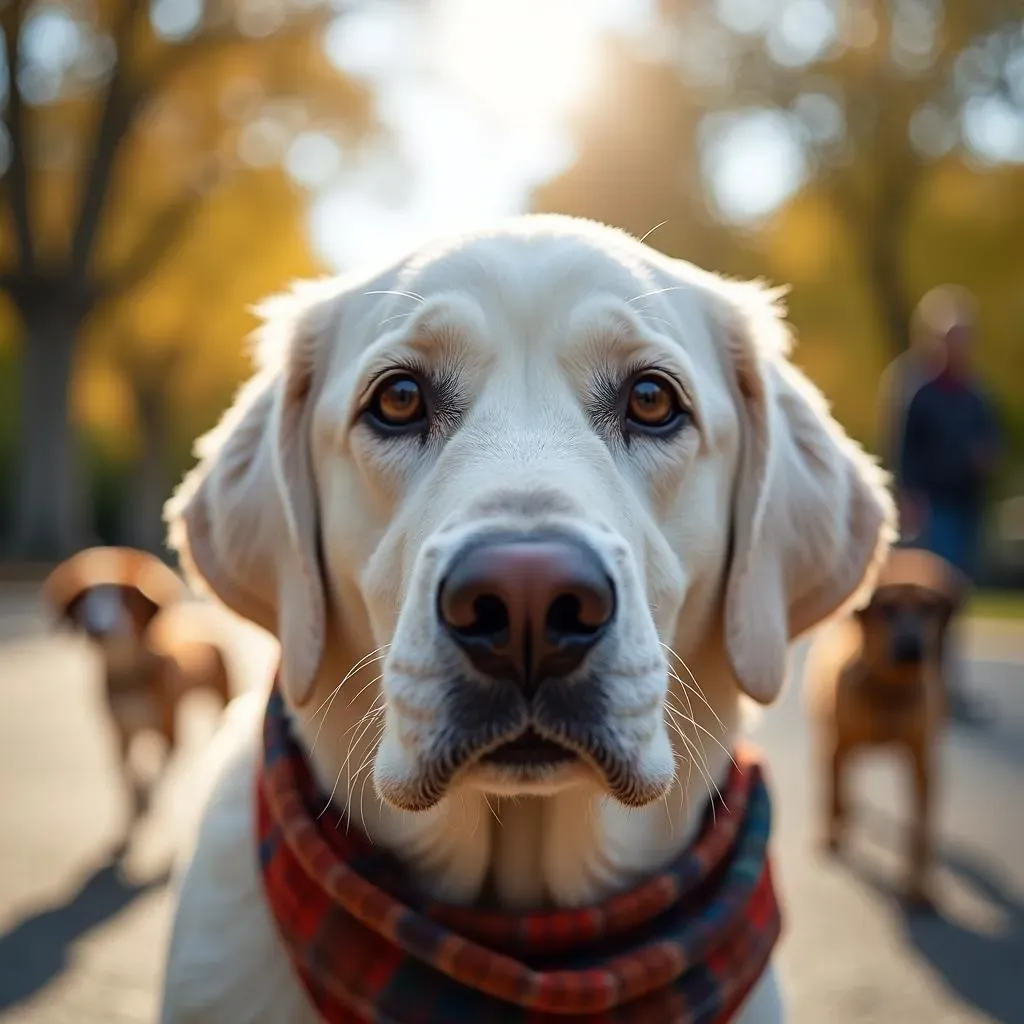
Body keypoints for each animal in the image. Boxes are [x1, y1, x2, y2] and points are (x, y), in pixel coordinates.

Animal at [42, 548, 232, 819]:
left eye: (123, 600)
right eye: (86, 602)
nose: (97, 629)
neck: (128, 676)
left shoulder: (168, 731)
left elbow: (160, 772)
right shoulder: (119, 732)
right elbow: (127, 777)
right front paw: (135, 804)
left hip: (222, 696)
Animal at [802, 548, 962, 909]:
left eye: (928, 609)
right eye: (886, 610)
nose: (912, 648)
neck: (889, 688)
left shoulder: (924, 763)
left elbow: (919, 830)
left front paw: (918, 888)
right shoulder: (836, 745)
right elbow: (833, 794)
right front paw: (832, 834)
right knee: (836, 785)